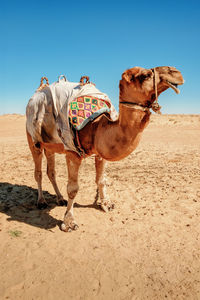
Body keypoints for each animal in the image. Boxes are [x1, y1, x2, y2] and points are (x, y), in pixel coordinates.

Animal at [26, 67, 184, 232]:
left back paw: (60, 199)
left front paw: (106, 204)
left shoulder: (100, 153)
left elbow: (101, 180)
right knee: (38, 172)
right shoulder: (72, 153)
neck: (96, 126)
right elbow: (73, 188)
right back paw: (41, 202)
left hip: (50, 146)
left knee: (51, 171)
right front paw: (69, 222)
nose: (176, 73)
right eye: (146, 75)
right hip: (34, 140)